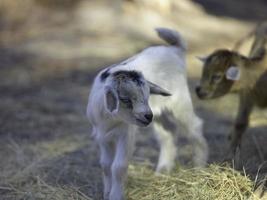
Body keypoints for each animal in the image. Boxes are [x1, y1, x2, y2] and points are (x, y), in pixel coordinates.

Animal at [196, 24, 267, 155]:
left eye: (217, 76)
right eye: (203, 72)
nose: (198, 90)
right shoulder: (246, 94)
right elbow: (240, 123)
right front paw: (231, 154)